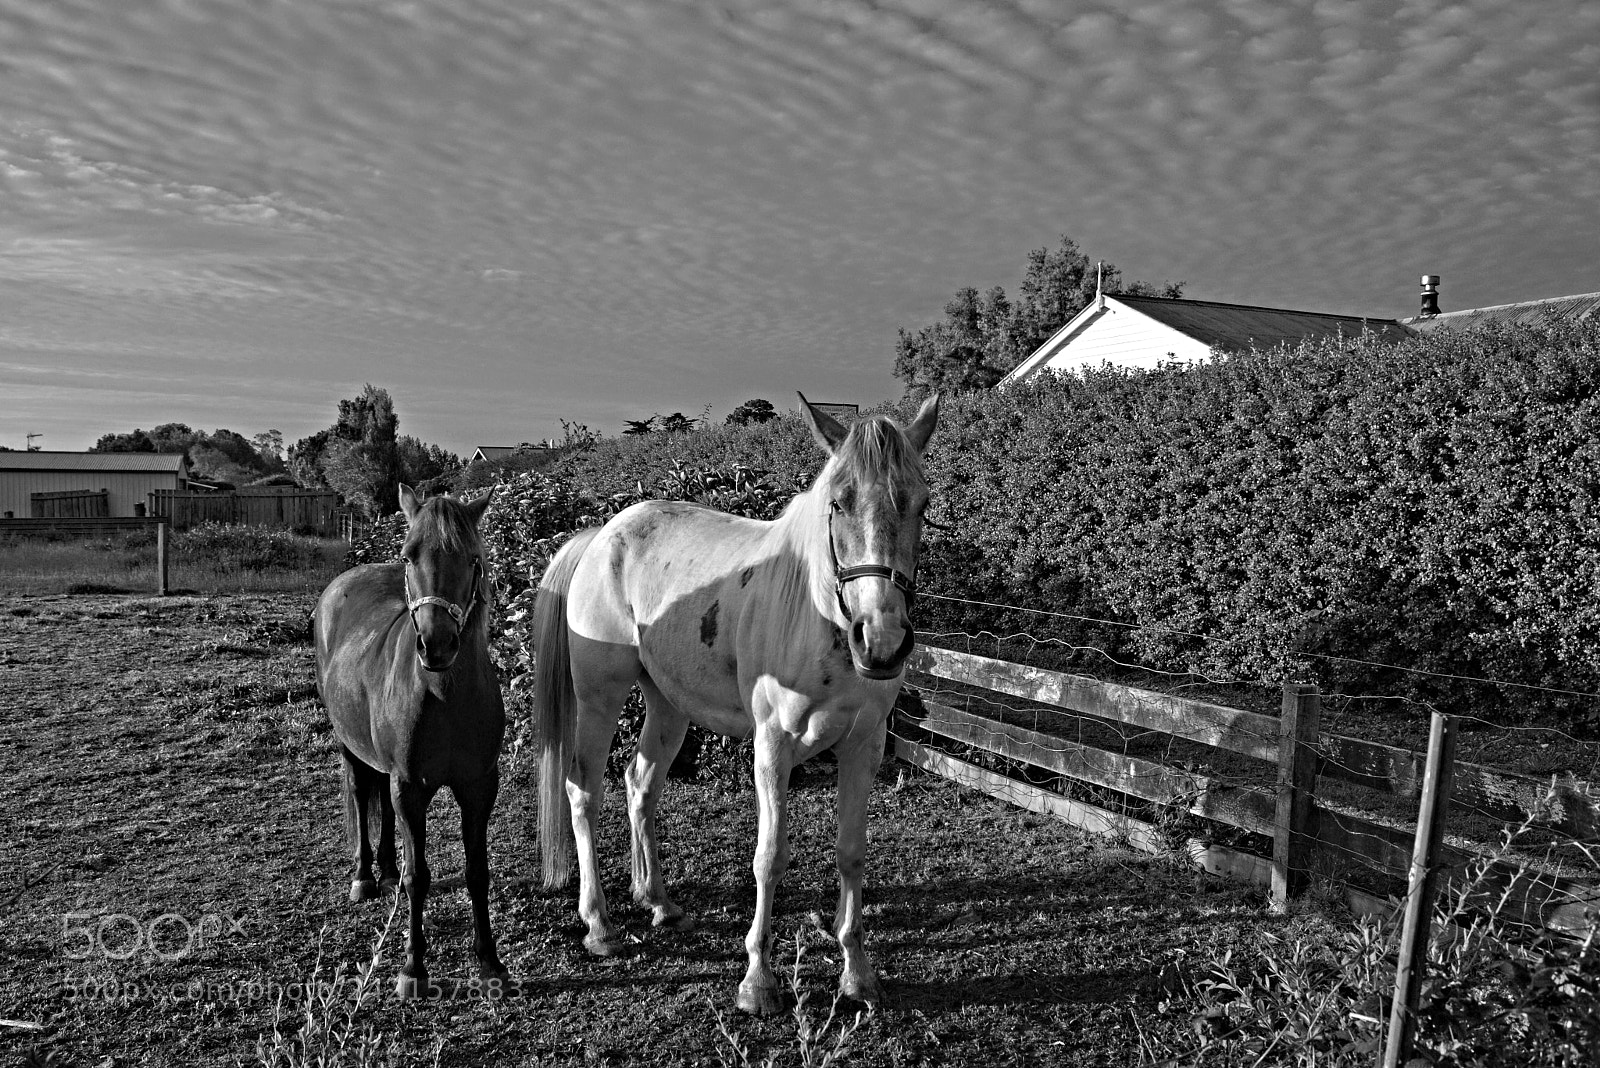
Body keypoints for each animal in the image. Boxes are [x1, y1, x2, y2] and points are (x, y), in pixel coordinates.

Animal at [312, 484, 508, 998]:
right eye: (408, 555)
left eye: (473, 559)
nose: (436, 645)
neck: (444, 696)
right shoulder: (411, 787)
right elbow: (420, 876)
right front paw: (413, 969)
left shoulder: (479, 788)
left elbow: (476, 872)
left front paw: (490, 963)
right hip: (349, 746)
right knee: (361, 792)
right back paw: (365, 877)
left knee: (379, 799)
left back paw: (385, 872)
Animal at [532, 393, 939, 1014]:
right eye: (839, 502)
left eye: (921, 502)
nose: (883, 641)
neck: (818, 618)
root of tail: (602, 535)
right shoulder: (772, 749)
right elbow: (769, 859)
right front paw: (757, 981)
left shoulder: (862, 749)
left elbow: (851, 853)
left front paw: (857, 975)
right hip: (599, 699)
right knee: (584, 791)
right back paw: (598, 924)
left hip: (667, 704)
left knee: (640, 784)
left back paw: (657, 901)